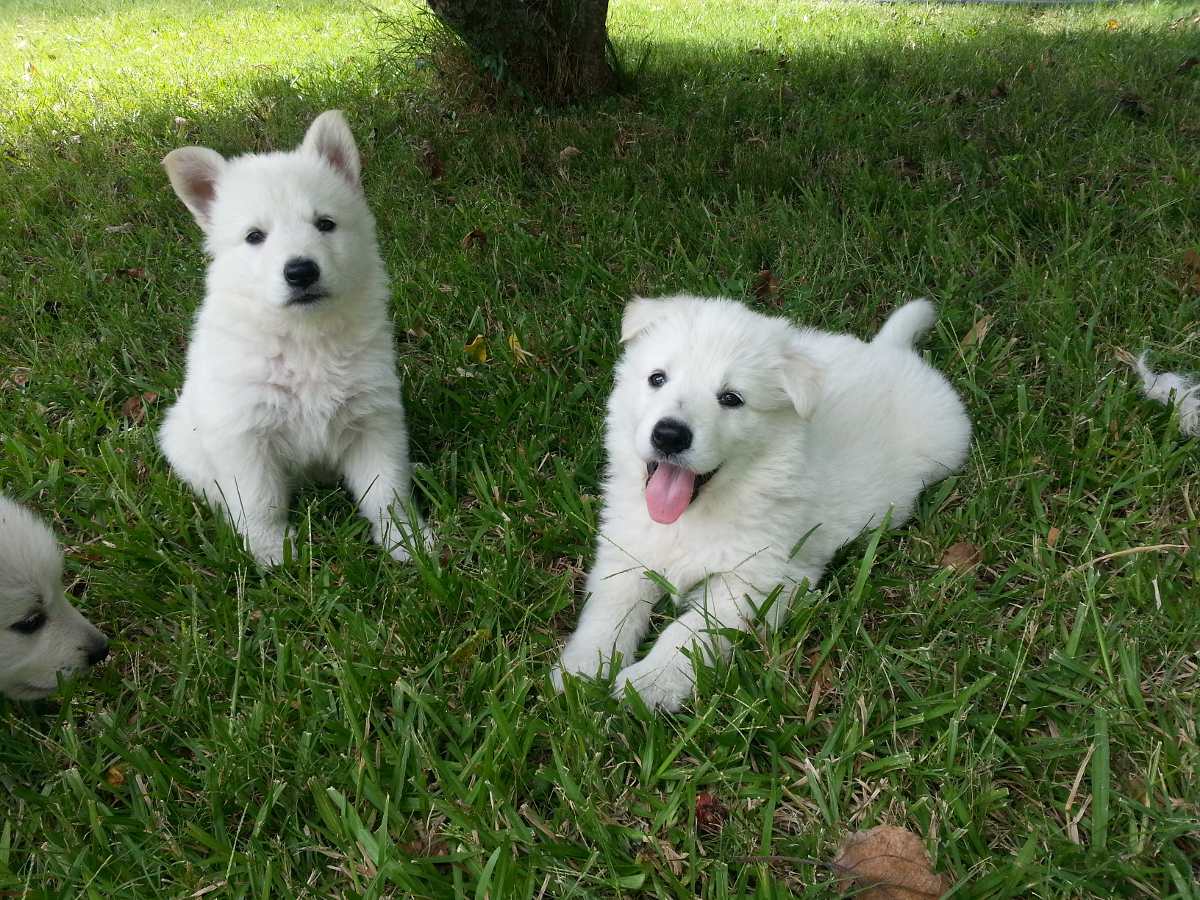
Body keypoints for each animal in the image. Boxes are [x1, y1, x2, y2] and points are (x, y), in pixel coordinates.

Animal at [160, 111, 427, 564]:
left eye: (325, 224)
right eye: (254, 236)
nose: (301, 271)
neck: (304, 340)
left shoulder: (372, 420)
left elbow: (387, 490)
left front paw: (405, 541)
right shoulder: (245, 434)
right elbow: (259, 500)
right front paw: (271, 551)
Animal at [552, 296, 974, 710]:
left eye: (731, 399)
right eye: (657, 378)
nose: (669, 435)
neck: (693, 517)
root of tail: (888, 349)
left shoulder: (756, 579)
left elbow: (690, 631)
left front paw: (650, 682)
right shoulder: (625, 554)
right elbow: (608, 612)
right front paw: (582, 669)